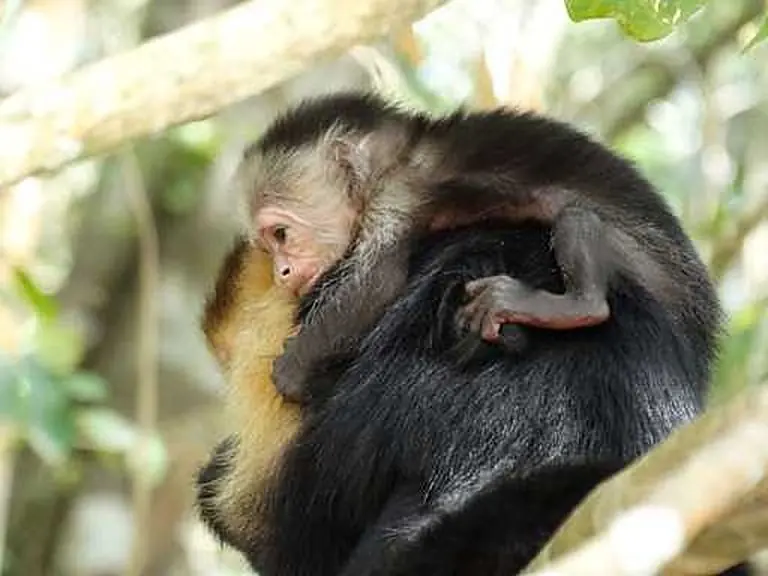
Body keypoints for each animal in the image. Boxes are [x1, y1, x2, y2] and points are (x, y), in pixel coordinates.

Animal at [238, 91, 721, 403]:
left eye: (280, 234)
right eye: (269, 246)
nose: (281, 273)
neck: (399, 156)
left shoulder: (395, 194)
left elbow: (376, 282)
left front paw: (293, 369)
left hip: (644, 264)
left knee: (577, 220)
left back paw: (576, 303)